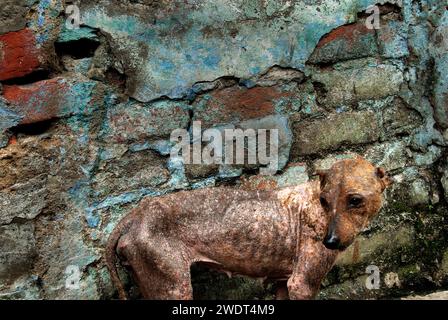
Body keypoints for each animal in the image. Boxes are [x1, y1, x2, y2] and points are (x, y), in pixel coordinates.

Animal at [105, 157, 392, 300]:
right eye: (325, 200)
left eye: (354, 201)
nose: (329, 241)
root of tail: (134, 214)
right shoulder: (302, 284)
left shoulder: (283, 282)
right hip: (173, 289)